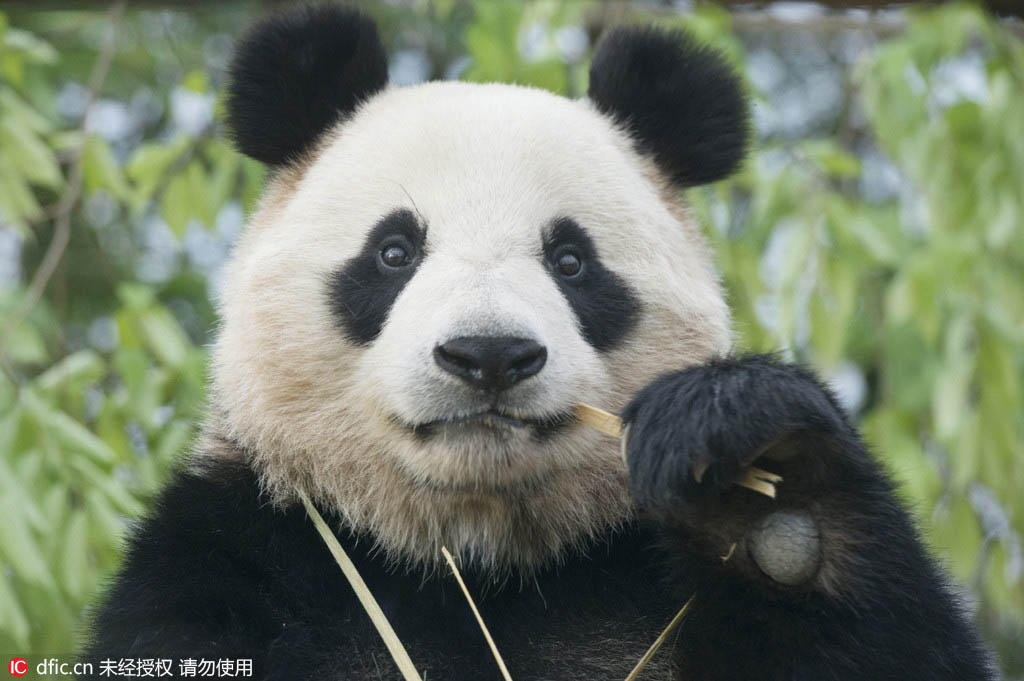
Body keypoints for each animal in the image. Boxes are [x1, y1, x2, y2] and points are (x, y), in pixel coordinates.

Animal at [83, 5, 997, 681]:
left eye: (571, 260)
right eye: (394, 251)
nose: (488, 355)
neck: (475, 559)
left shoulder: (634, 580)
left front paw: (765, 493)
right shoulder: (231, 560)